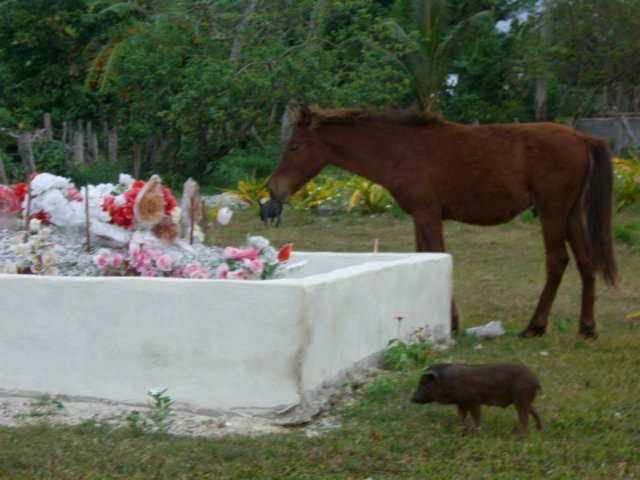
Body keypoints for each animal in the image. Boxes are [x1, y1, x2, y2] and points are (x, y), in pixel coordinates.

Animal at [268, 105, 616, 338]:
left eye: (294, 146)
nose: (274, 189)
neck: (402, 150)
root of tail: (581, 137)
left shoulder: (428, 214)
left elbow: (438, 256)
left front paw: (452, 323)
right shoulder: (419, 218)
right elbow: (425, 258)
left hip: (551, 211)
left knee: (557, 261)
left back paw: (535, 326)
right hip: (570, 214)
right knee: (585, 263)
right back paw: (587, 328)